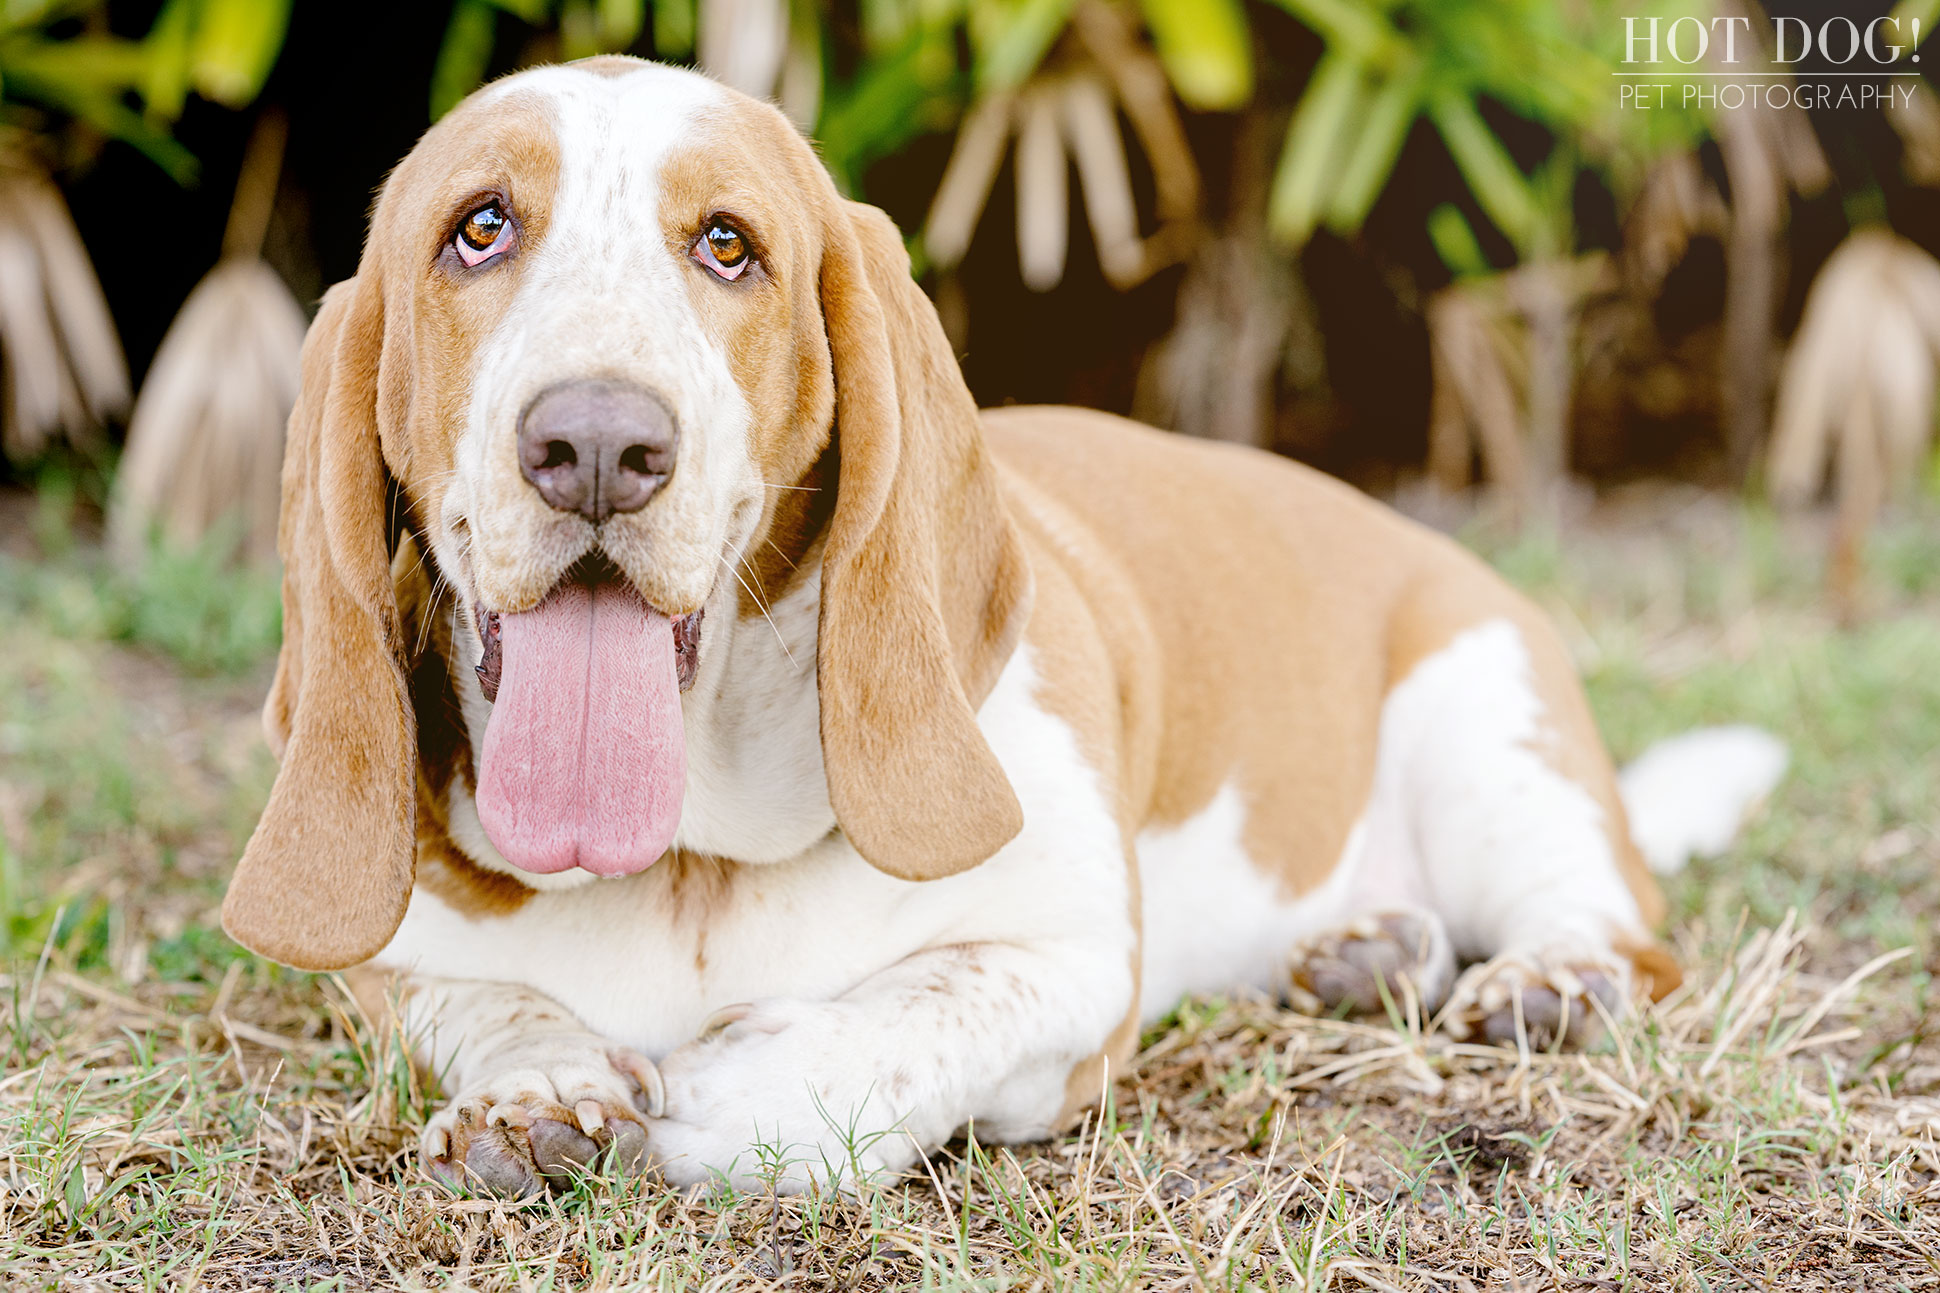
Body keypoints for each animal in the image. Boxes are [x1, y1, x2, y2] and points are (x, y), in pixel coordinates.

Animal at [216, 58, 1784, 1188]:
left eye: (728, 246)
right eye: (477, 231)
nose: (597, 445)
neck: (691, 863)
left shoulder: (1074, 967)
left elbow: (915, 1015)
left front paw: (736, 1094)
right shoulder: (396, 972)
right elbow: (485, 1004)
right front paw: (540, 1090)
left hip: (1485, 724)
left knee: (1612, 922)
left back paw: (1547, 979)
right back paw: (1365, 951)